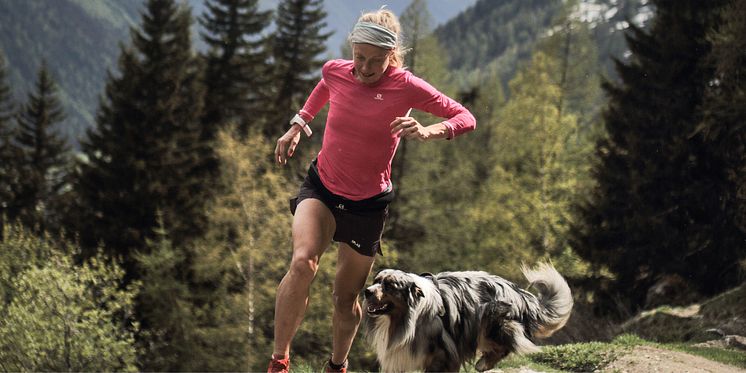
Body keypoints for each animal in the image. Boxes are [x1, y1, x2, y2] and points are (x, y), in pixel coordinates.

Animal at [364, 264, 572, 370]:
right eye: (376, 281)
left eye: (389, 286)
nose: (366, 291)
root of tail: (520, 294)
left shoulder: (443, 354)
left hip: (489, 318)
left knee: (506, 345)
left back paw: (483, 364)